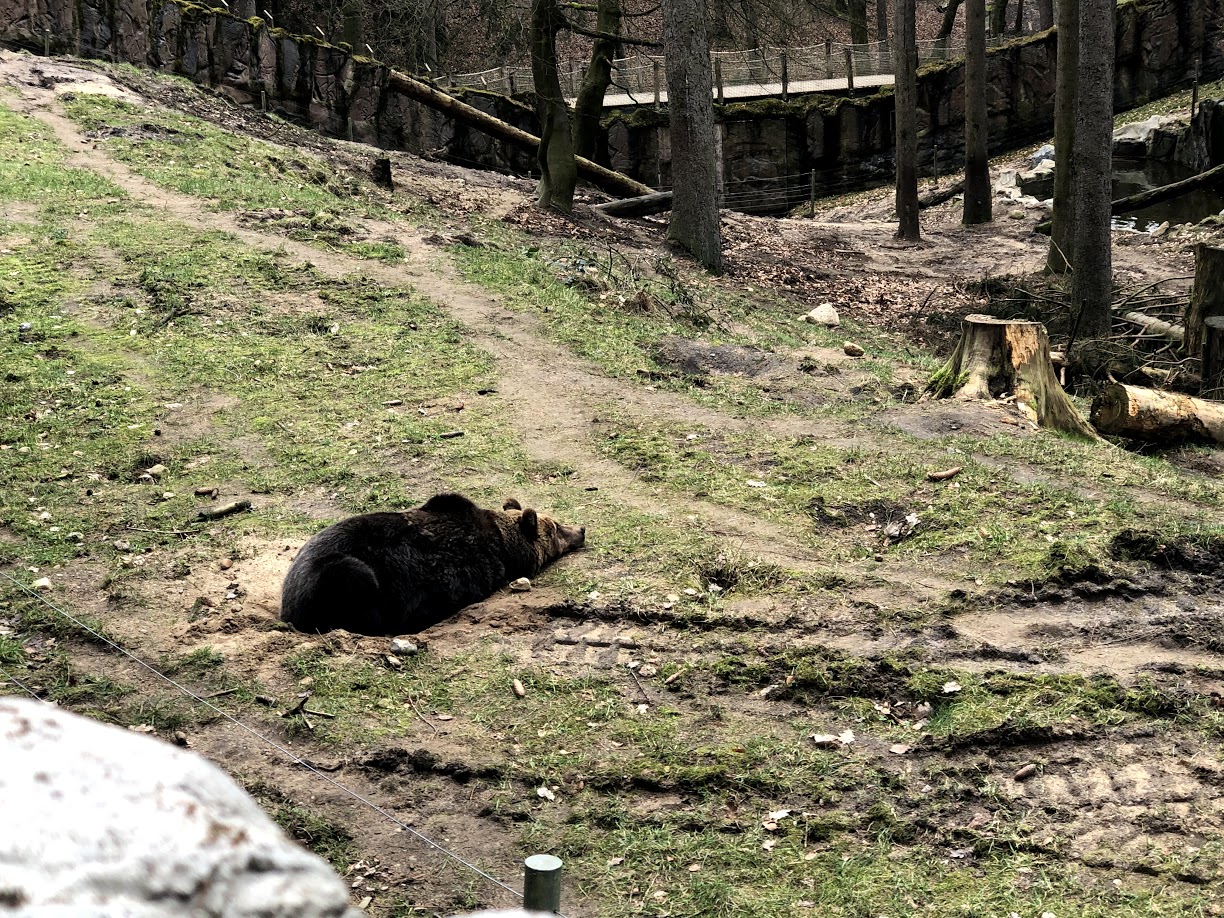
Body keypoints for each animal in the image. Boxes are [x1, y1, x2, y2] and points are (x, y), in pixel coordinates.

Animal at [279, 493, 586, 635]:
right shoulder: (459, 572)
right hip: (338, 573)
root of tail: (288, 608)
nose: (581, 529)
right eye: (556, 527)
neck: (503, 545)